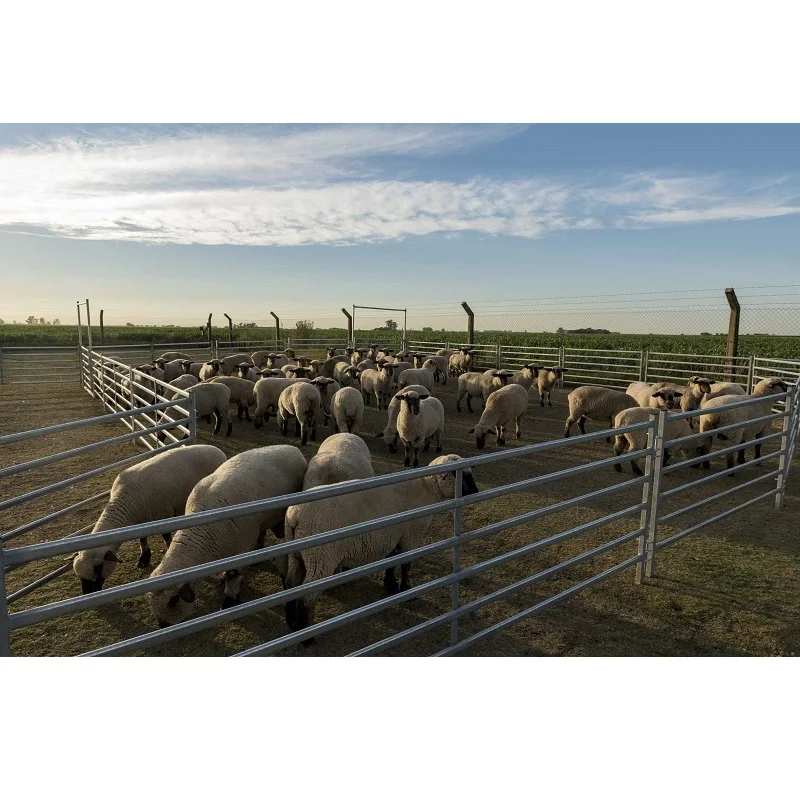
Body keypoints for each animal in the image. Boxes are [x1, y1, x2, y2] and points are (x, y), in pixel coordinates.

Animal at [72, 445, 227, 592]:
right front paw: (144, 558)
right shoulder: (142, 520)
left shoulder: (163, 514)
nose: (87, 594)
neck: (125, 501)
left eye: (98, 568)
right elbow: (142, 539)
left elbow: (166, 536)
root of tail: (217, 450)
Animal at [146, 446, 307, 626]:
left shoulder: (240, 546)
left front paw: (230, 601)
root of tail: (293, 448)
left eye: (173, 600)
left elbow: (233, 576)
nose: (164, 625)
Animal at [283, 453, 479, 635]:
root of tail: (295, 516)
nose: (476, 492)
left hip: (297, 554)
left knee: (291, 584)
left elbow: (391, 560)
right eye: (460, 475)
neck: (425, 488)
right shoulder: (410, 535)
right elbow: (406, 564)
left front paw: (390, 585)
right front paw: (407, 590)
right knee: (307, 596)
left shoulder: (393, 535)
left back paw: (291, 622)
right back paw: (305, 634)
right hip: (321, 556)